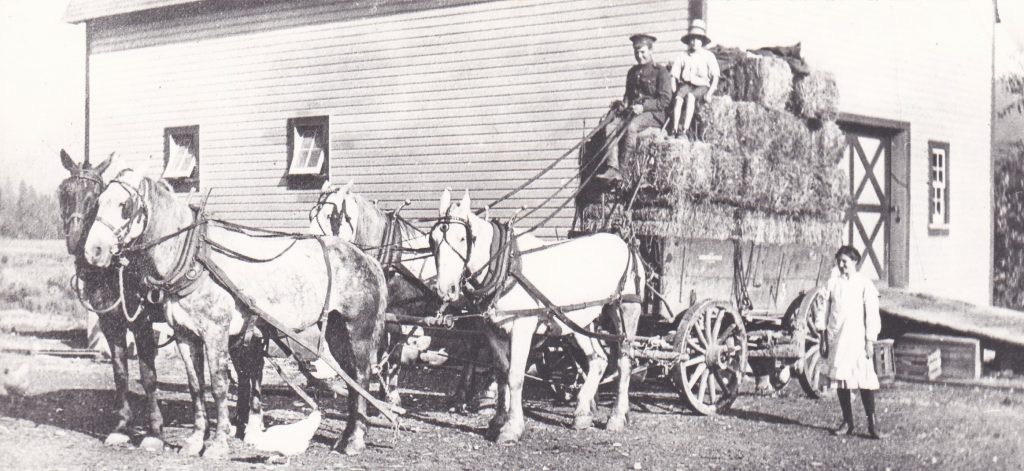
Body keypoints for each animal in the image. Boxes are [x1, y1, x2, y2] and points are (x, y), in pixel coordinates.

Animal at [57, 149, 164, 448]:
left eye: (95, 196)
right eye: (64, 192)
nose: (78, 242)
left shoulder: (141, 322)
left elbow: (148, 375)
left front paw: (155, 431)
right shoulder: (110, 322)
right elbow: (120, 372)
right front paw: (122, 426)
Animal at [82, 167, 387, 456]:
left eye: (125, 205)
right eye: (97, 203)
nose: (93, 251)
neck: (194, 257)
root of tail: (366, 258)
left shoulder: (216, 332)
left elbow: (219, 385)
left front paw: (218, 444)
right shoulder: (184, 334)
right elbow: (196, 386)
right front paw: (195, 440)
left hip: (358, 331)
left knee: (361, 376)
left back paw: (355, 441)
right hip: (336, 330)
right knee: (351, 380)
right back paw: (345, 437)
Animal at [428, 189, 643, 444]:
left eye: (464, 238)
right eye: (432, 240)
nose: (446, 290)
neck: (506, 267)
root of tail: (624, 244)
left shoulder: (521, 327)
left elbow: (515, 376)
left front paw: (511, 428)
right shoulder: (492, 330)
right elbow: (501, 374)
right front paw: (497, 421)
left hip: (625, 310)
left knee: (624, 361)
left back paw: (617, 417)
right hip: (578, 321)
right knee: (598, 359)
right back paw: (582, 414)